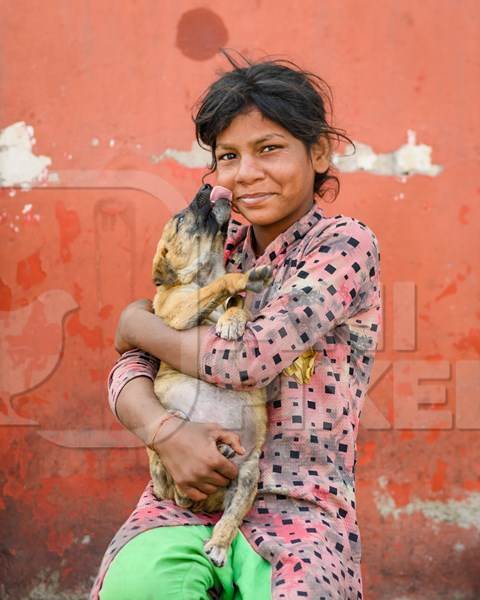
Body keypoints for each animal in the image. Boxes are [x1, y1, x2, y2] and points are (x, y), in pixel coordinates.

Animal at [146, 184, 272, 568]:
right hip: (163, 458)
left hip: (249, 474)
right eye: (180, 219)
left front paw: (233, 320)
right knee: (171, 486)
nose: (205, 186)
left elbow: (238, 303)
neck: (206, 272)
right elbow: (225, 289)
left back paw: (218, 542)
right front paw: (242, 281)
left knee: (230, 515)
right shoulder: (179, 312)